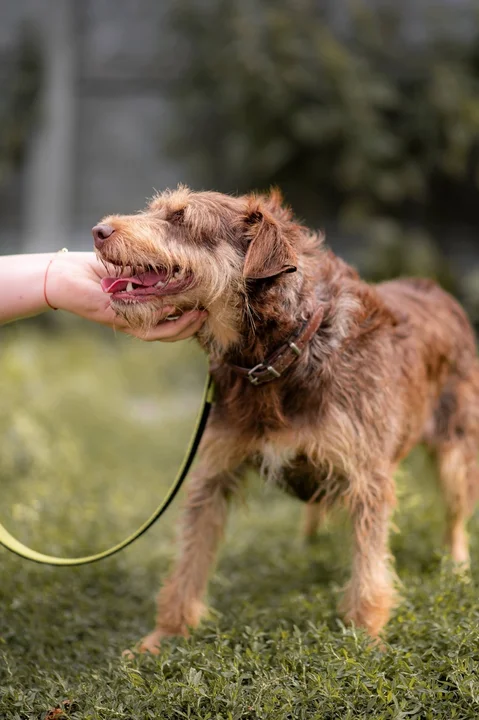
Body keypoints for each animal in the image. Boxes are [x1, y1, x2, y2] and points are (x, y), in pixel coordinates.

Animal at [92, 186, 478, 652]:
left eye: (181, 218)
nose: (99, 231)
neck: (278, 355)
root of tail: (439, 291)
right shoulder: (213, 475)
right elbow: (188, 564)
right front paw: (163, 636)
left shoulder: (368, 479)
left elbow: (369, 570)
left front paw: (366, 638)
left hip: (456, 451)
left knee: (456, 517)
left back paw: (457, 567)